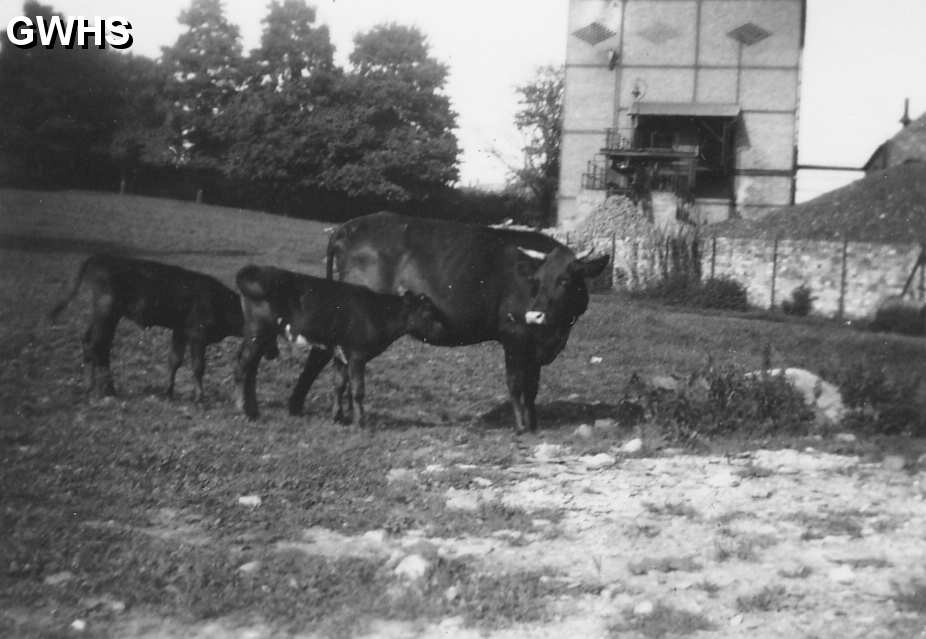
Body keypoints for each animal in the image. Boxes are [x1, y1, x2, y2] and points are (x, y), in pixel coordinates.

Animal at [47, 254, 250, 400]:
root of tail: (100, 258)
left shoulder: (180, 332)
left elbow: (174, 360)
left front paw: (168, 392)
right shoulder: (198, 335)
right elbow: (198, 366)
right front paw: (200, 397)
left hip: (103, 315)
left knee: (92, 343)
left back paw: (98, 388)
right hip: (106, 313)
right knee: (96, 346)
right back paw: (98, 390)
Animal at [237, 262, 444, 428]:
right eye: (428, 313)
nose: (442, 330)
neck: (378, 313)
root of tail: (258, 270)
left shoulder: (341, 355)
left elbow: (339, 385)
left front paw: (338, 418)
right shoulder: (357, 354)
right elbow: (358, 390)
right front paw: (360, 422)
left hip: (261, 336)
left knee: (251, 370)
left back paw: (253, 411)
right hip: (258, 332)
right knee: (242, 367)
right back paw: (244, 411)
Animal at [304, 212, 612, 432]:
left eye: (565, 280)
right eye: (536, 281)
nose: (535, 315)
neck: (555, 332)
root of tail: (349, 227)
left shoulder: (535, 346)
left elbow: (532, 387)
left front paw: (534, 424)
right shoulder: (513, 336)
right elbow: (515, 383)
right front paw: (521, 427)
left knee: (339, 367)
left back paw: (340, 415)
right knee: (340, 364)